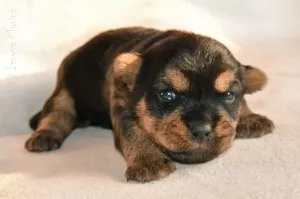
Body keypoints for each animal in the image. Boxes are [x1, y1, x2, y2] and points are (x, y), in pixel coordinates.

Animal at [25, 27, 274, 183]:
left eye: (228, 95)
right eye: (167, 94)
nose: (202, 130)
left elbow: (244, 99)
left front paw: (250, 118)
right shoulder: (122, 105)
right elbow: (134, 133)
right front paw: (149, 161)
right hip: (65, 88)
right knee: (57, 113)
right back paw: (44, 135)